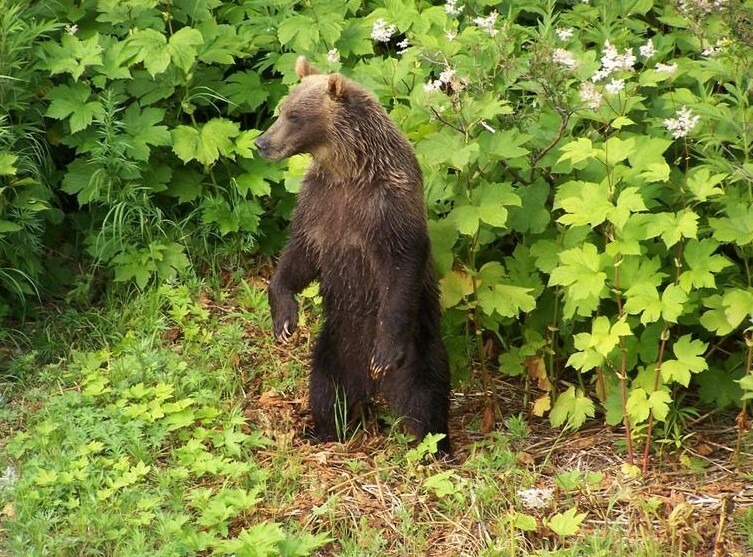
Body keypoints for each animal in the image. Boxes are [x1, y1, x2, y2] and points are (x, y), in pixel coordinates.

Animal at [256, 57, 450, 456]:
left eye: (295, 115)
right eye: (282, 109)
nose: (262, 142)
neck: (349, 172)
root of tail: (375, 389)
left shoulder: (387, 210)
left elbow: (401, 267)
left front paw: (384, 353)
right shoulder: (319, 206)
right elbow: (298, 257)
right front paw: (284, 318)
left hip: (417, 350)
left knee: (426, 396)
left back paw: (435, 447)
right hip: (336, 345)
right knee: (326, 388)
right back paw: (324, 429)